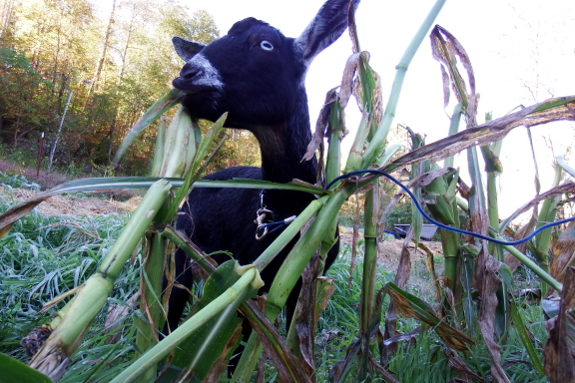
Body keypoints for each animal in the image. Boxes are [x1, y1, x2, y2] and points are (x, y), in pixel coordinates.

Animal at [165, 0, 360, 360]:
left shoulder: (304, 285)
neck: (288, 211)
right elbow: (235, 354)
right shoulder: (247, 284)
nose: (187, 74)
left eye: (266, 45)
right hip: (181, 249)